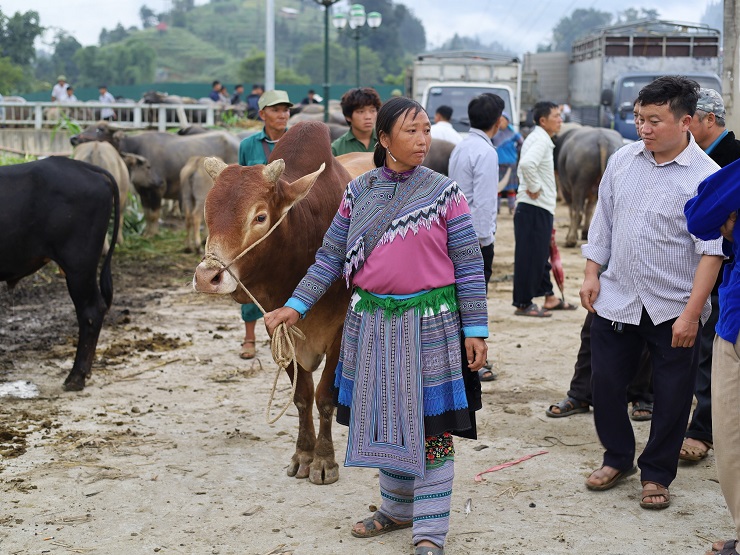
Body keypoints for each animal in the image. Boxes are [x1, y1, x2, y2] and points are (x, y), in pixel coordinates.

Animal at [192, 120, 352, 482]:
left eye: (260, 217)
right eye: (208, 213)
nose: (208, 277)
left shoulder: (340, 331)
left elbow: (325, 396)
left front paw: (324, 460)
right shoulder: (276, 327)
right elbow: (302, 396)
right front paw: (304, 454)